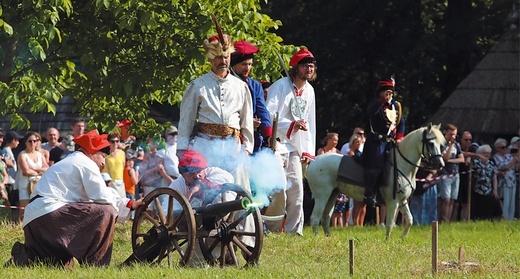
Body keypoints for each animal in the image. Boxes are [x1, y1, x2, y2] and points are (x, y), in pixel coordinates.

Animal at [306, 123, 444, 240]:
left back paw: (327, 238)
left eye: (440, 144)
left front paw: (402, 238)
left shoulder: (402, 201)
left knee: (325, 218)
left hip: (332, 194)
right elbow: (389, 224)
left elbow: (410, 220)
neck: (401, 165)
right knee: (315, 218)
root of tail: (313, 161)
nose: (440, 164)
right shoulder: (393, 202)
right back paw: (317, 239)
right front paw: (387, 241)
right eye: (431, 143)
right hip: (322, 196)